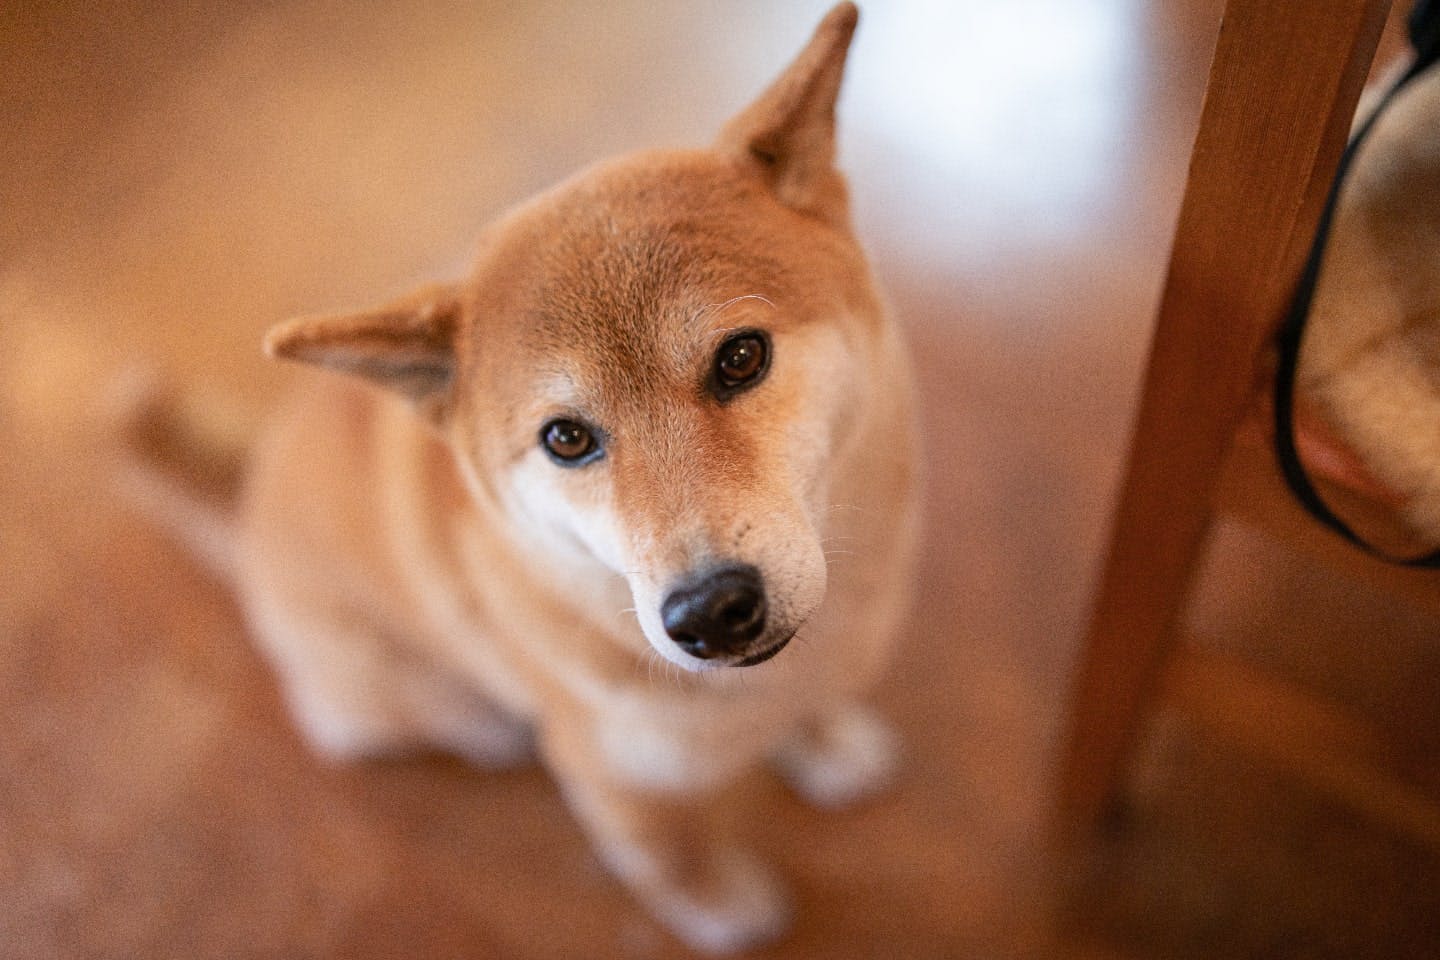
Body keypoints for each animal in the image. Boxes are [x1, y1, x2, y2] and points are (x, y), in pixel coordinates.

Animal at [120, 3, 910, 955]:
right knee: (362, 724)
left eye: (741, 358)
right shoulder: (614, 779)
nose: (709, 612)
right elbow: (670, 858)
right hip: (374, 686)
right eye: (566, 438)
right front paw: (722, 910)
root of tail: (247, 510)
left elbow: (814, 706)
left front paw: (827, 744)